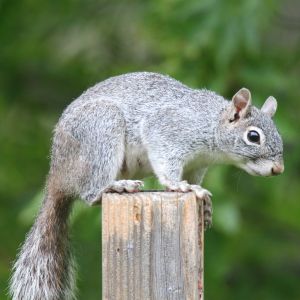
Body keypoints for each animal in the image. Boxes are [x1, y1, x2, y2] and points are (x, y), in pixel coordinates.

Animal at [10, 71, 284, 298]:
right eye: (253, 136)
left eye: (278, 136)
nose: (278, 169)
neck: (211, 124)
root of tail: (58, 174)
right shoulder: (168, 130)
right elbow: (167, 165)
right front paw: (181, 186)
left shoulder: (197, 165)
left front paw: (205, 206)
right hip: (101, 131)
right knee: (90, 193)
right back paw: (114, 187)